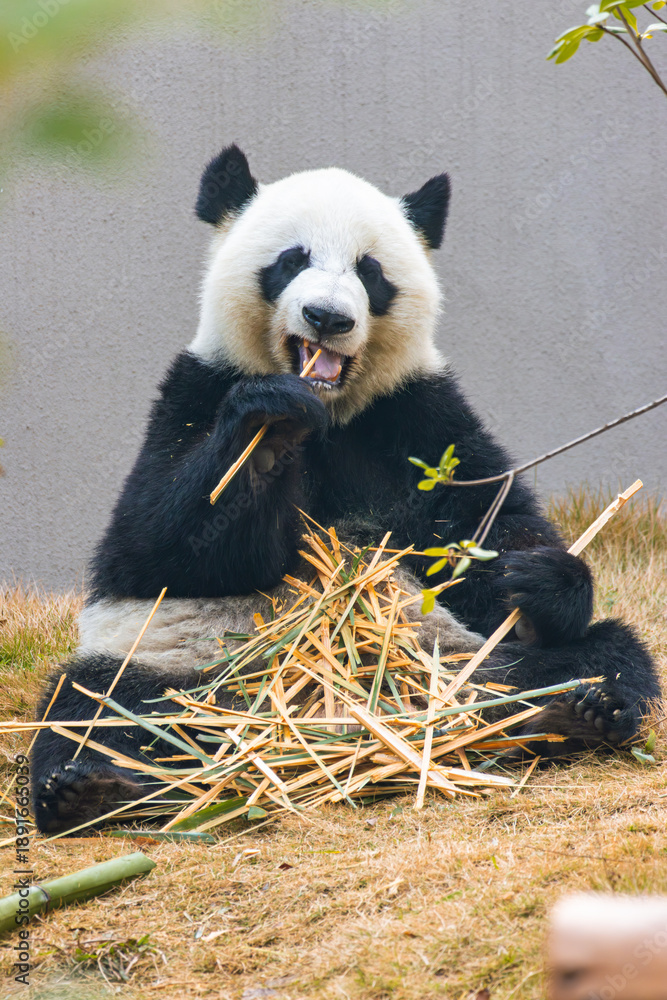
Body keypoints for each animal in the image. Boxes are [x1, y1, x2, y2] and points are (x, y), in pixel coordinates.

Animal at [31, 145, 660, 834]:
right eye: (292, 260)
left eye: (370, 271)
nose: (327, 317)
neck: (330, 410)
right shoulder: (195, 391)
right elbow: (157, 549)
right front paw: (268, 427)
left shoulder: (419, 416)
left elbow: (489, 526)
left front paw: (536, 580)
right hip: (177, 666)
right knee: (93, 703)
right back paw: (91, 788)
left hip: (449, 653)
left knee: (597, 657)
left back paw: (574, 715)